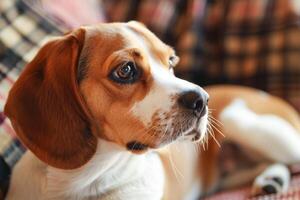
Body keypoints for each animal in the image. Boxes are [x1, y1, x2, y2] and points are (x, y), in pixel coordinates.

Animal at [3, 21, 300, 199]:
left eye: (171, 61)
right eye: (125, 70)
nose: (202, 100)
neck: (82, 180)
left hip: (242, 122)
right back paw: (271, 179)